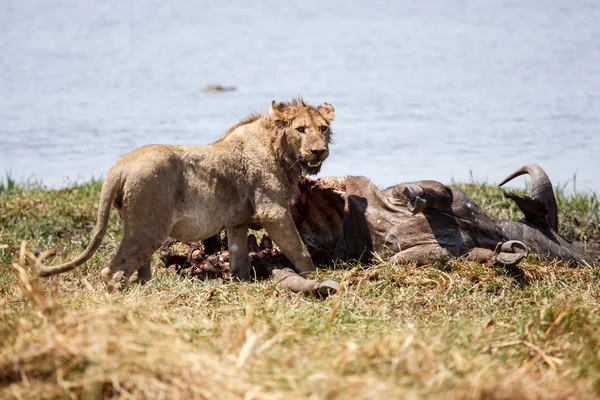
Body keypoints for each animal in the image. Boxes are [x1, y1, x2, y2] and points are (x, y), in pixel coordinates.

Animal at [32, 97, 336, 290]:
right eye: (300, 129)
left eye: (323, 128)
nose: (319, 151)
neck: (281, 151)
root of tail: (119, 167)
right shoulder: (273, 211)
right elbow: (299, 250)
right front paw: (317, 277)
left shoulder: (237, 221)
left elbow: (239, 258)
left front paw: (242, 283)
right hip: (148, 226)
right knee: (113, 270)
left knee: (137, 267)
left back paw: (147, 288)